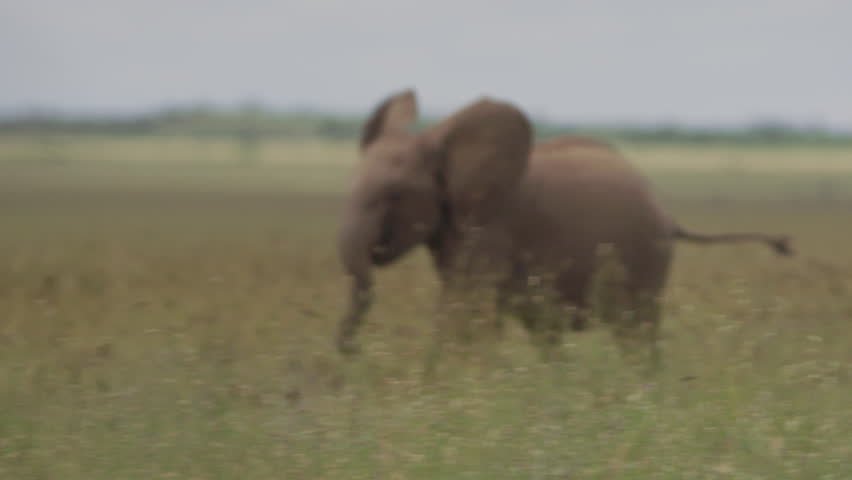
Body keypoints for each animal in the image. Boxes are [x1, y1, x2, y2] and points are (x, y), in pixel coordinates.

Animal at [335, 89, 792, 359]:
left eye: (394, 194)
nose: (349, 354)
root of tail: (668, 214)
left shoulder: (490, 227)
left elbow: (467, 308)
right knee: (549, 332)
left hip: (645, 257)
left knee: (636, 331)